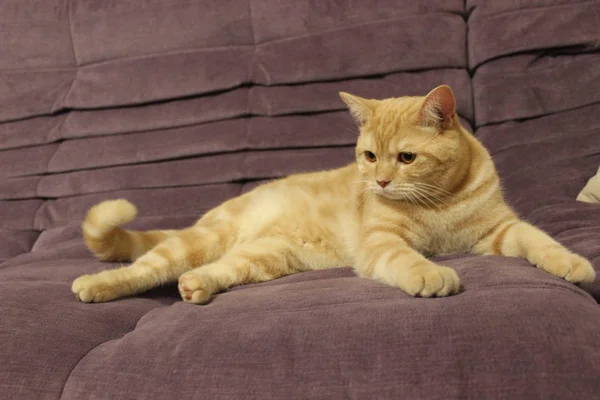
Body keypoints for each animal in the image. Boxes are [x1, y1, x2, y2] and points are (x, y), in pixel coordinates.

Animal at [71, 84, 596, 304]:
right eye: (369, 156)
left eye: (406, 158)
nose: (379, 182)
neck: (439, 203)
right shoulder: (382, 241)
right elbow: (409, 260)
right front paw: (432, 275)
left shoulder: (499, 231)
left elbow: (540, 241)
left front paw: (572, 264)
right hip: (199, 243)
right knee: (142, 268)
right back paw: (95, 286)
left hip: (262, 258)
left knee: (215, 270)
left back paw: (195, 286)